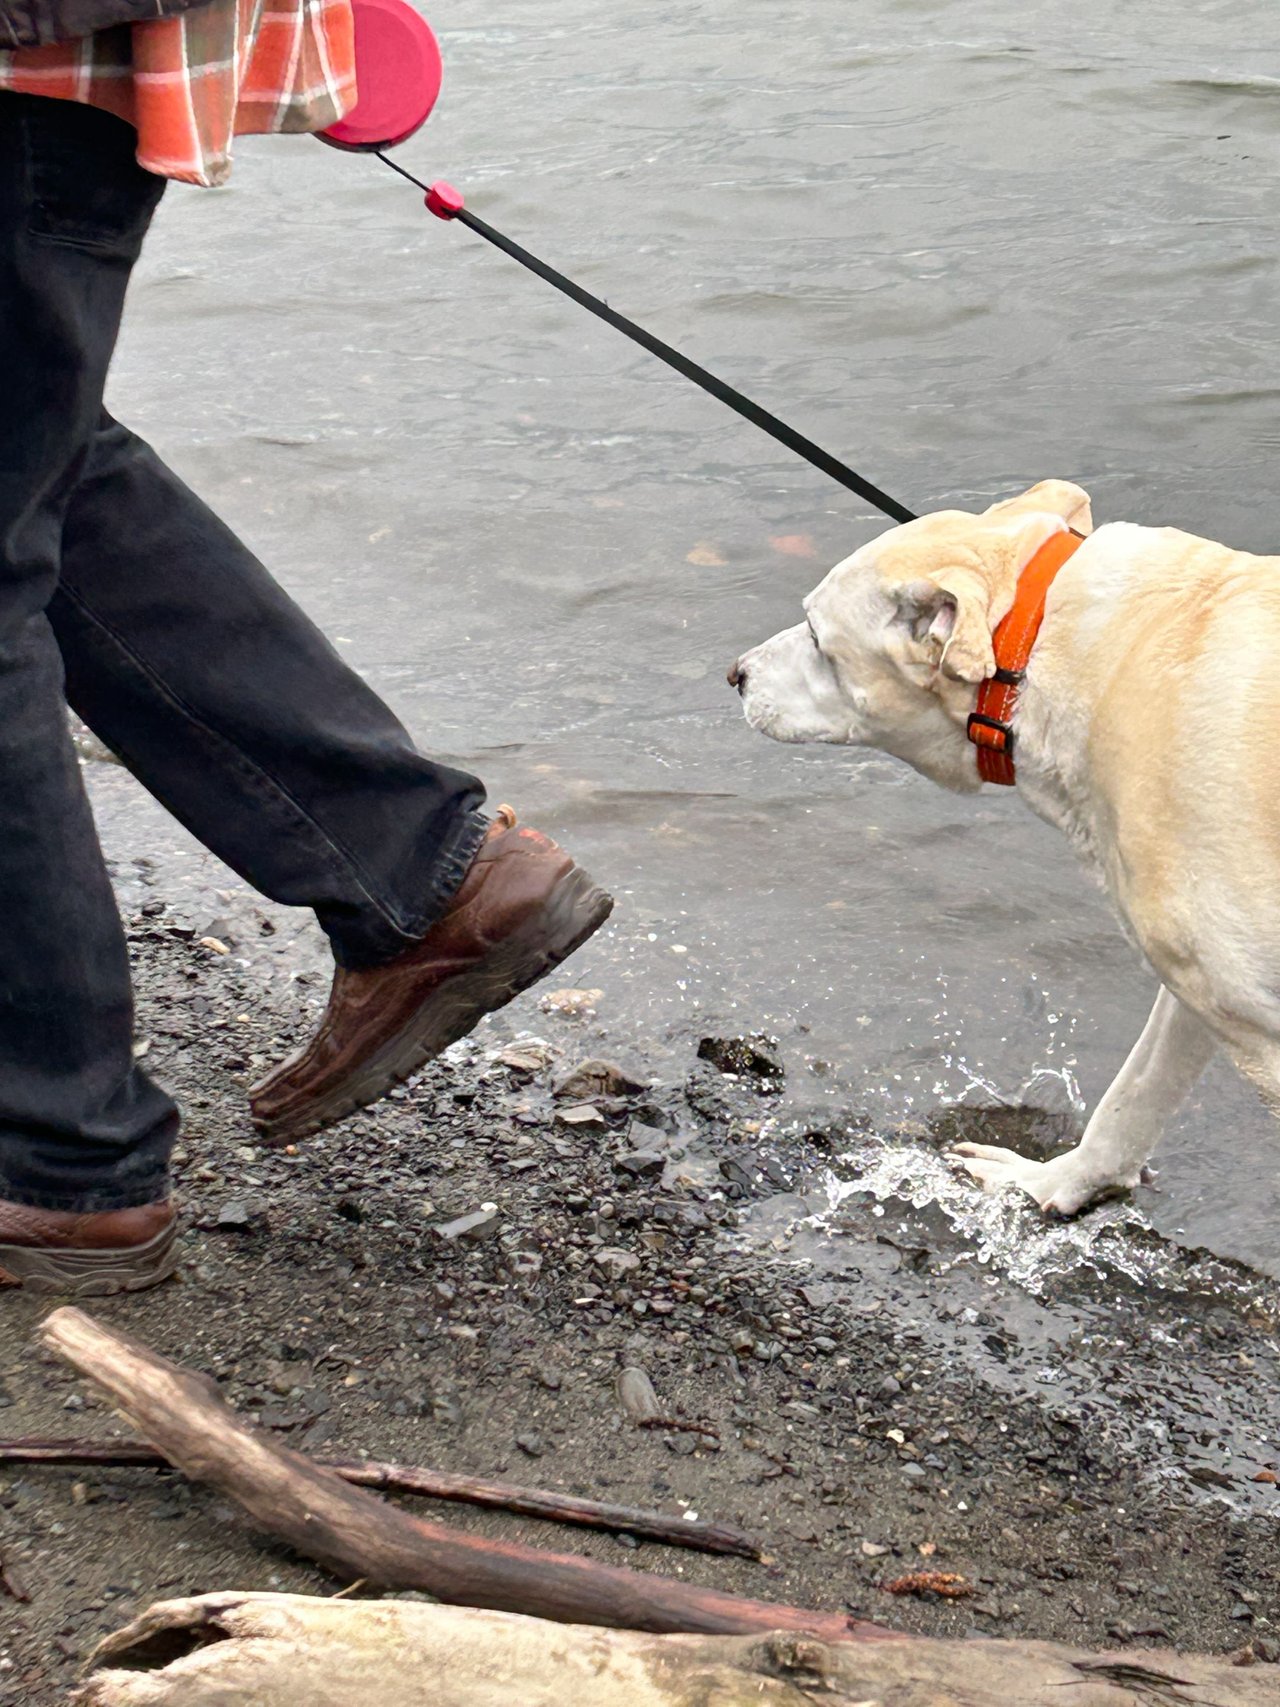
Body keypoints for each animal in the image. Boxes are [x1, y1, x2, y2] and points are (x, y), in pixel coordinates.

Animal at [730, 481, 1280, 1222]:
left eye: (817, 636)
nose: (735, 673)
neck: (1050, 646)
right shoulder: (1205, 984)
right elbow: (1134, 1094)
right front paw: (1049, 1183)